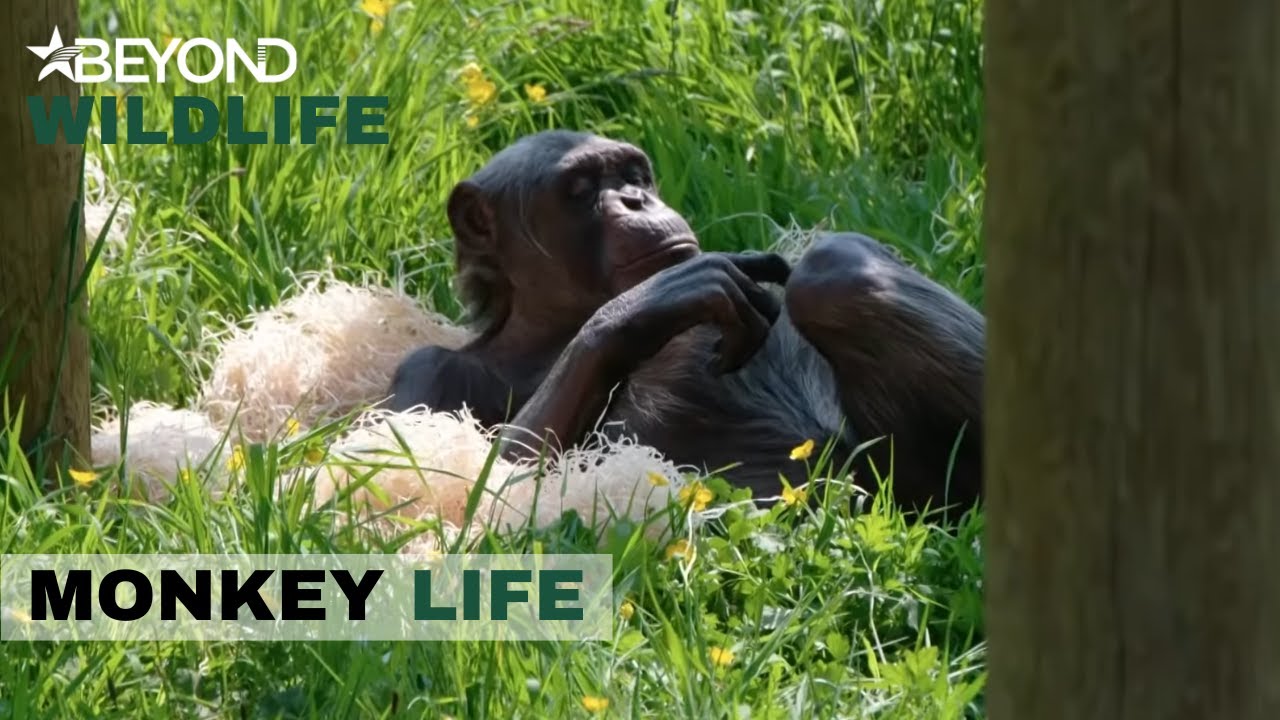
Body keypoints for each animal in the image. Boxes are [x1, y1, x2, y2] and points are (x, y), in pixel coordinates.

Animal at [387, 130, 984, 518]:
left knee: (834, 270)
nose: (635, 200)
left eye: (632, 175)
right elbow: (443, 494)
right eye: (581, 188)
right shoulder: (426, 373)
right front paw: (649, 303)